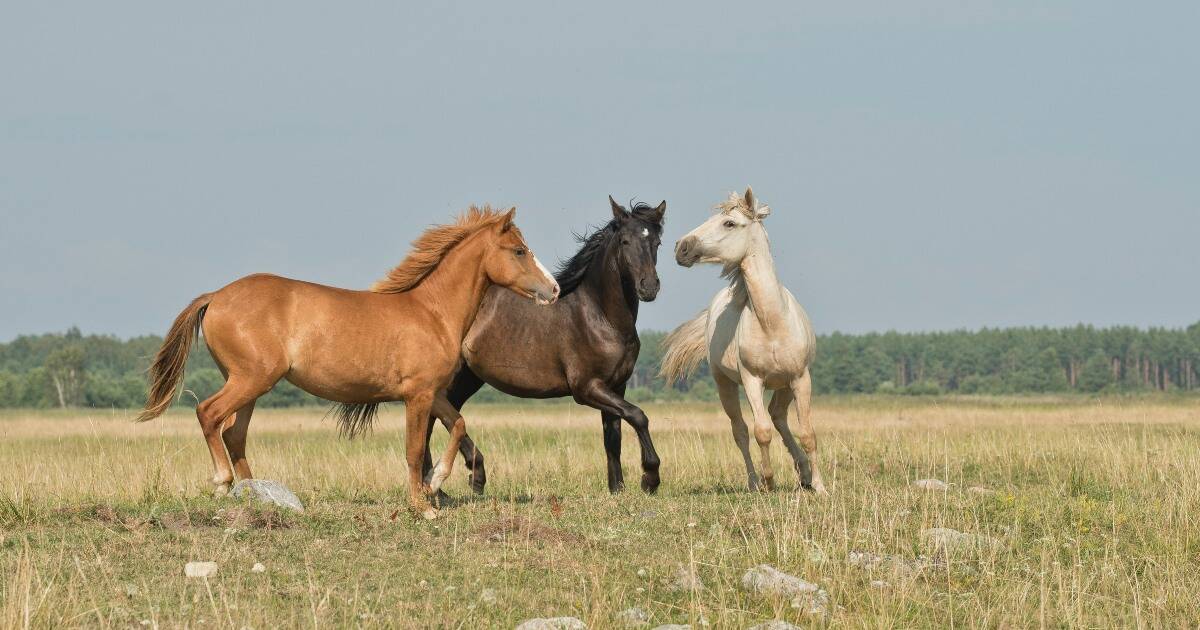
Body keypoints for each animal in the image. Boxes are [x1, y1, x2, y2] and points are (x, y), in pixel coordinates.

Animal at [138, 205, 559, 516]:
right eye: (519, 250)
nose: (553, 289)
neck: (432, 312)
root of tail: (216, 296)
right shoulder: (417, 396)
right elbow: (413, 450)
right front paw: (422, 506)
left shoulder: (432, 393)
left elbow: (458, 425)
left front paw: (437, 482)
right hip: (250, 379)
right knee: (209, 414)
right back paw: (223, 483)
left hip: (250, 385)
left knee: (233, 433)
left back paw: (256, 494)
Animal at [422, 195, 667, 492]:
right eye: (625, 241)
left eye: (657, 242)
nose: (649, 287)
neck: (600, 317)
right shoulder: (587, 388)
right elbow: (638, 415)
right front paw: (650, 478)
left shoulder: (616, 386)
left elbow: (613, 438)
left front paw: (617, 489)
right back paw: (464, 476)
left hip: (468, 378)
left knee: (442, 415)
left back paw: (443, 485)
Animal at [662, 187, 820, 492]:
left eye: (729, 223)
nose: (680, 247)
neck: (772, 323)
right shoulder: (752, 380)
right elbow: (761, 431)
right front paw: (769, 482)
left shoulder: (800, 378)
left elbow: (807, 432)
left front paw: (820, 486)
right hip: (725, 384)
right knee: (741, 431)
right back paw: (754, 481)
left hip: (784, 385)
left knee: (778, 416)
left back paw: (804, 474)